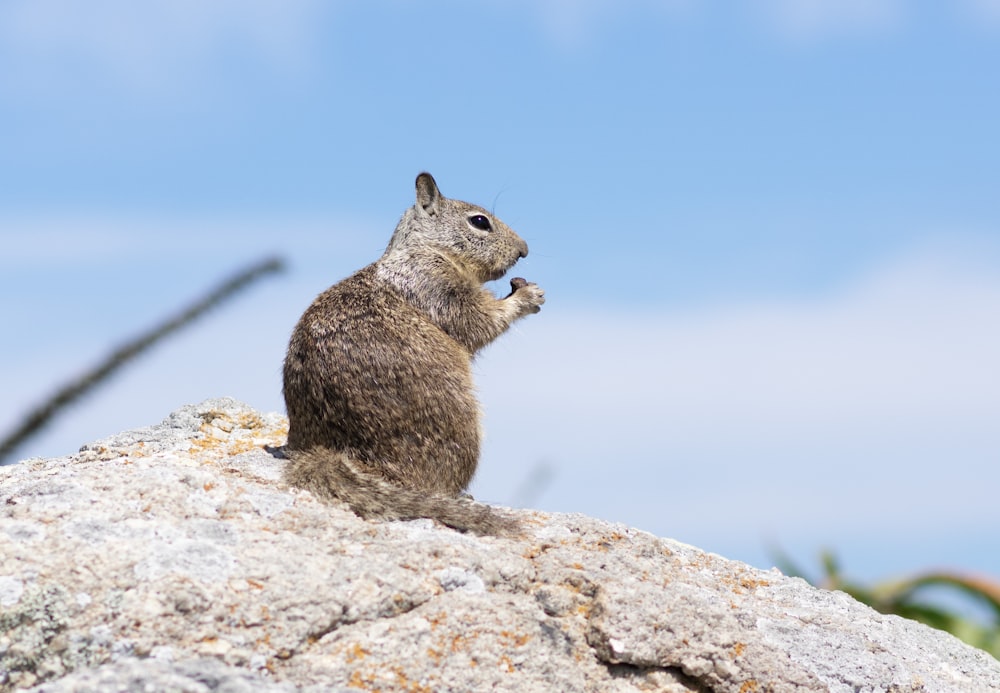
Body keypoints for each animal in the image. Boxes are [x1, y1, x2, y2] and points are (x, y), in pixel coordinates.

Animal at [282, 170, 548, 532]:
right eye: (480, 222)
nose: (524, 251)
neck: (424, 248)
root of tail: (333, 451)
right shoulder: (437, 284)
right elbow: (478, 321)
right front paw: (528, 296)